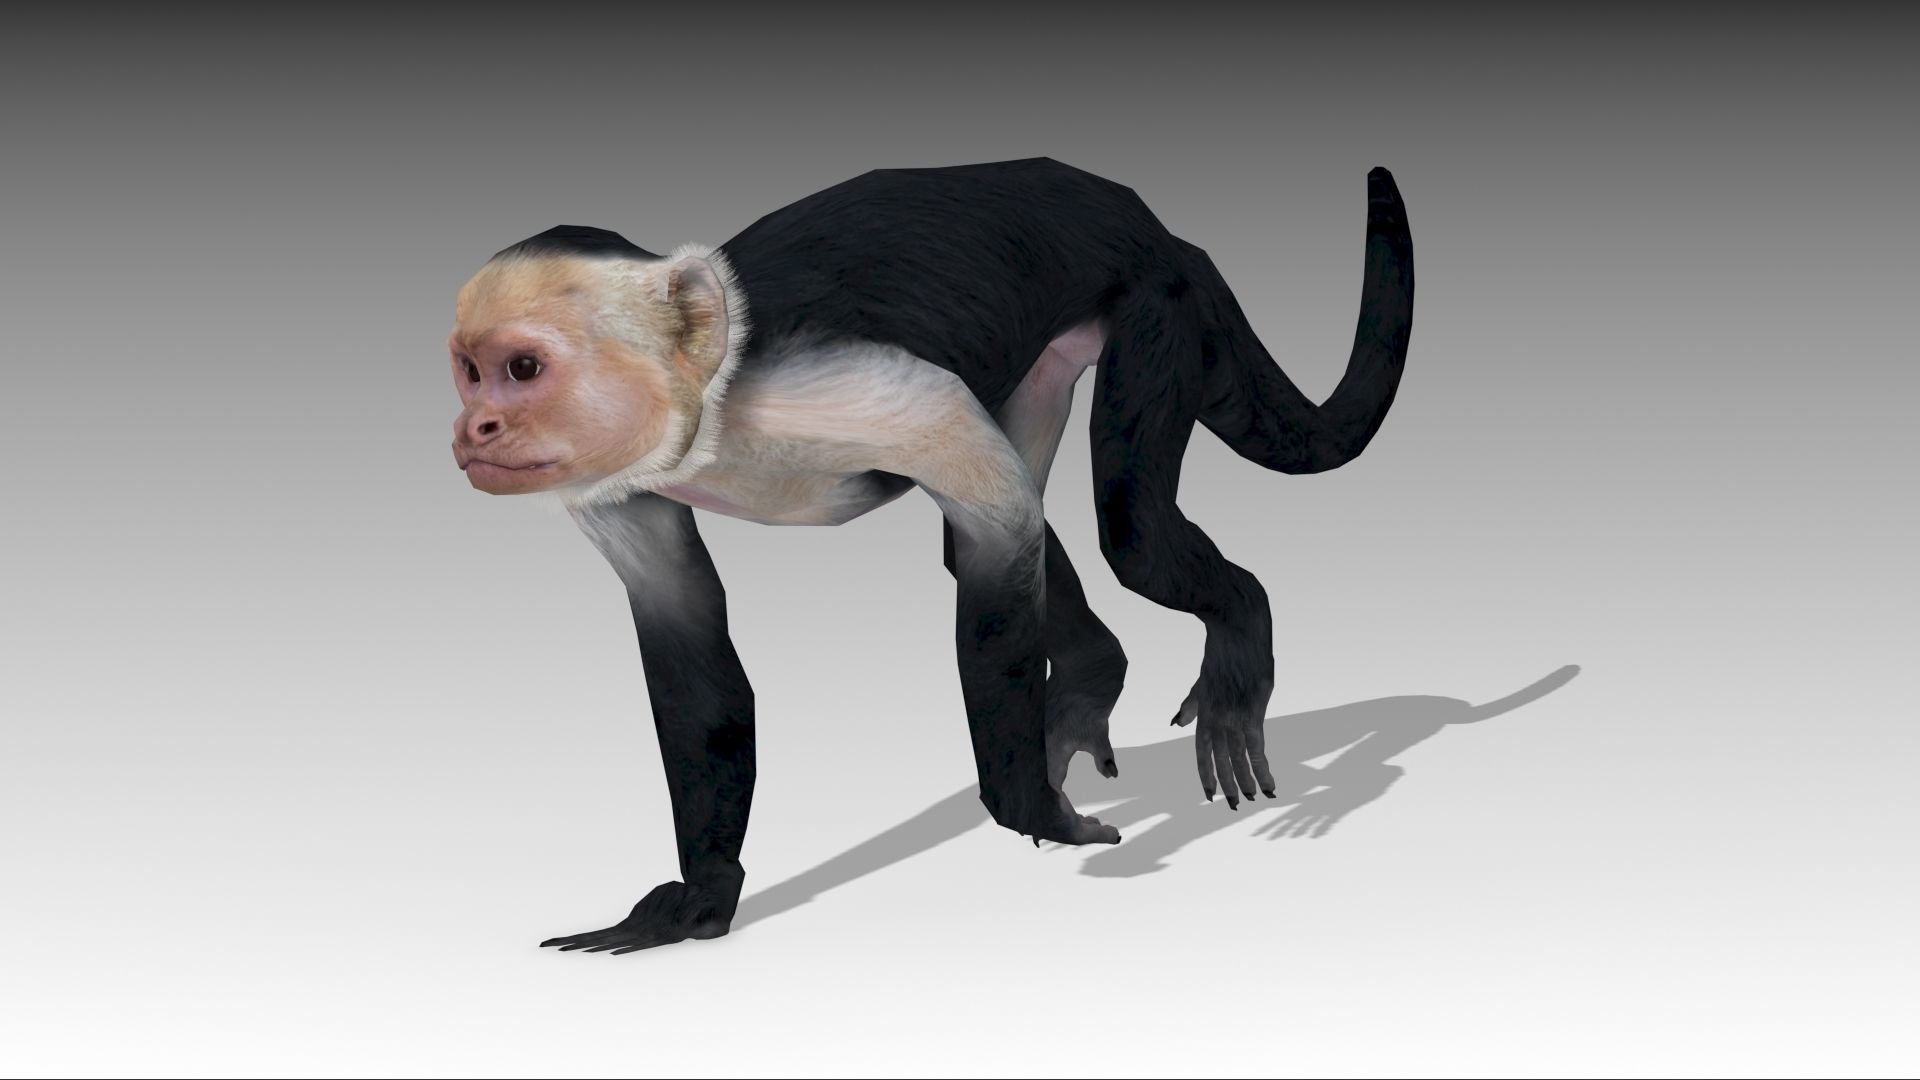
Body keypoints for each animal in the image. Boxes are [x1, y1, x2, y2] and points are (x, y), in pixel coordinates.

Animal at [447, 158, 1414, 955]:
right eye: (467, 371)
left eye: (522, 369)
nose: (473, 428)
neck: (715, 406)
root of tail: (1147, 218)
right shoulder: (613, 483)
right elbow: (690, 646)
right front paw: (700, 901)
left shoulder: (838, 391)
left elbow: (1000, 529)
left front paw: (1028, 809)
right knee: (994, 528)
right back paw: (1095, 673)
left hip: (1156, 308)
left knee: (1121, 530)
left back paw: (1235, 632)